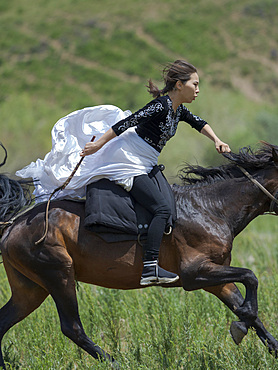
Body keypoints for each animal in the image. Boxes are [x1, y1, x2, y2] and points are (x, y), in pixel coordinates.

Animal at [0, 142, 278, 368]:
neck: (211, 209)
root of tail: (13, 225)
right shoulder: (195, 273)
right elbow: (251, 279)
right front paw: (240, 326)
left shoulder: (217, 280)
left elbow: (250, 310)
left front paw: (261, 338)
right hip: (59, 276)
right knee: (73, 328)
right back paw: (115, 363)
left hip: (31, 289)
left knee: (3, 323)